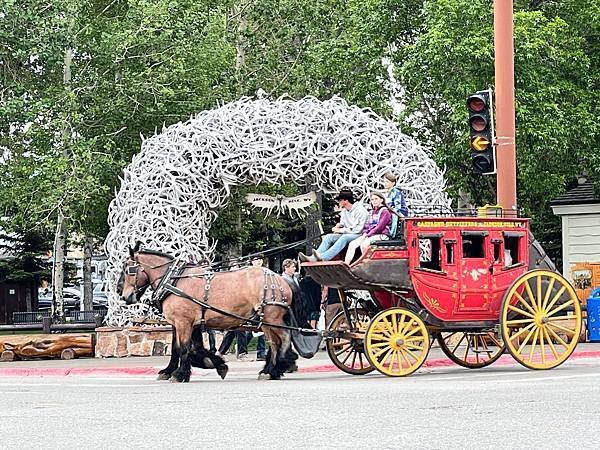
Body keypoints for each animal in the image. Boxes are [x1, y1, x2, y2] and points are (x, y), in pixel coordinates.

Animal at [116, 244, 302, 382]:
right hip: (266, 321)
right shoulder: (183, 323)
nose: (121, 293)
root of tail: (281, 279)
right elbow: (183, 348)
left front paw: (180, 374)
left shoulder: (184, 322)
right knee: (275, 343)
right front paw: (211, 363)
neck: (173, 280)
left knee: (283, 339)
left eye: (128, 270)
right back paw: (271, 370)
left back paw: (280, 364)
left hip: (272, 317)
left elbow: (183, 347)